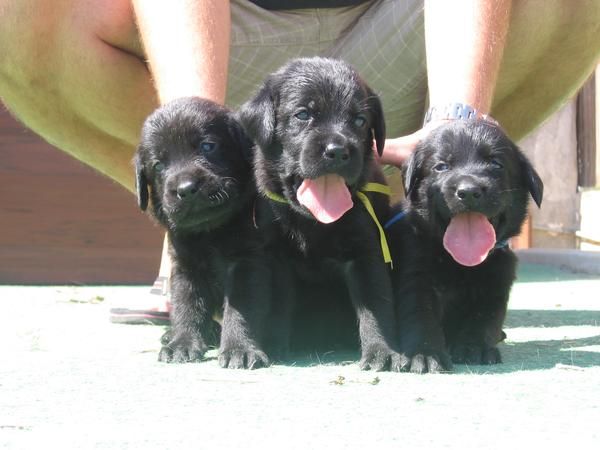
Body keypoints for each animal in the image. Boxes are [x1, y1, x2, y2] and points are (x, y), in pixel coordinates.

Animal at [135, 96, 272, 368]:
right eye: (158, 165)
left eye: (208, 146)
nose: (185, 189)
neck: (209, 232)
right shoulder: (186, 267)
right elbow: (187, 306)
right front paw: (181, 344)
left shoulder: (246, 262)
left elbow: (240, 309)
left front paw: (240, 349)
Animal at [237, 56, 400, 370]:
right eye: (303, 114)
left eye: (360, 121)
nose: (337, 151)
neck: (313, 221)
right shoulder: (277, 258)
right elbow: (278, 305)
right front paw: (274, 345)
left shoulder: (365, 251)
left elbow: (375, 306)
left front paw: (382, 352)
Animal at [390, 119, 544, 372]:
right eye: (441, 166)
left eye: (496, 164)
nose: (469, 191)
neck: (459, 262)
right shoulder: (417, 277)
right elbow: (420, 315)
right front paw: (425, 353)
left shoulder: (496, 285)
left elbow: (483, 319)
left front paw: (474, 347)